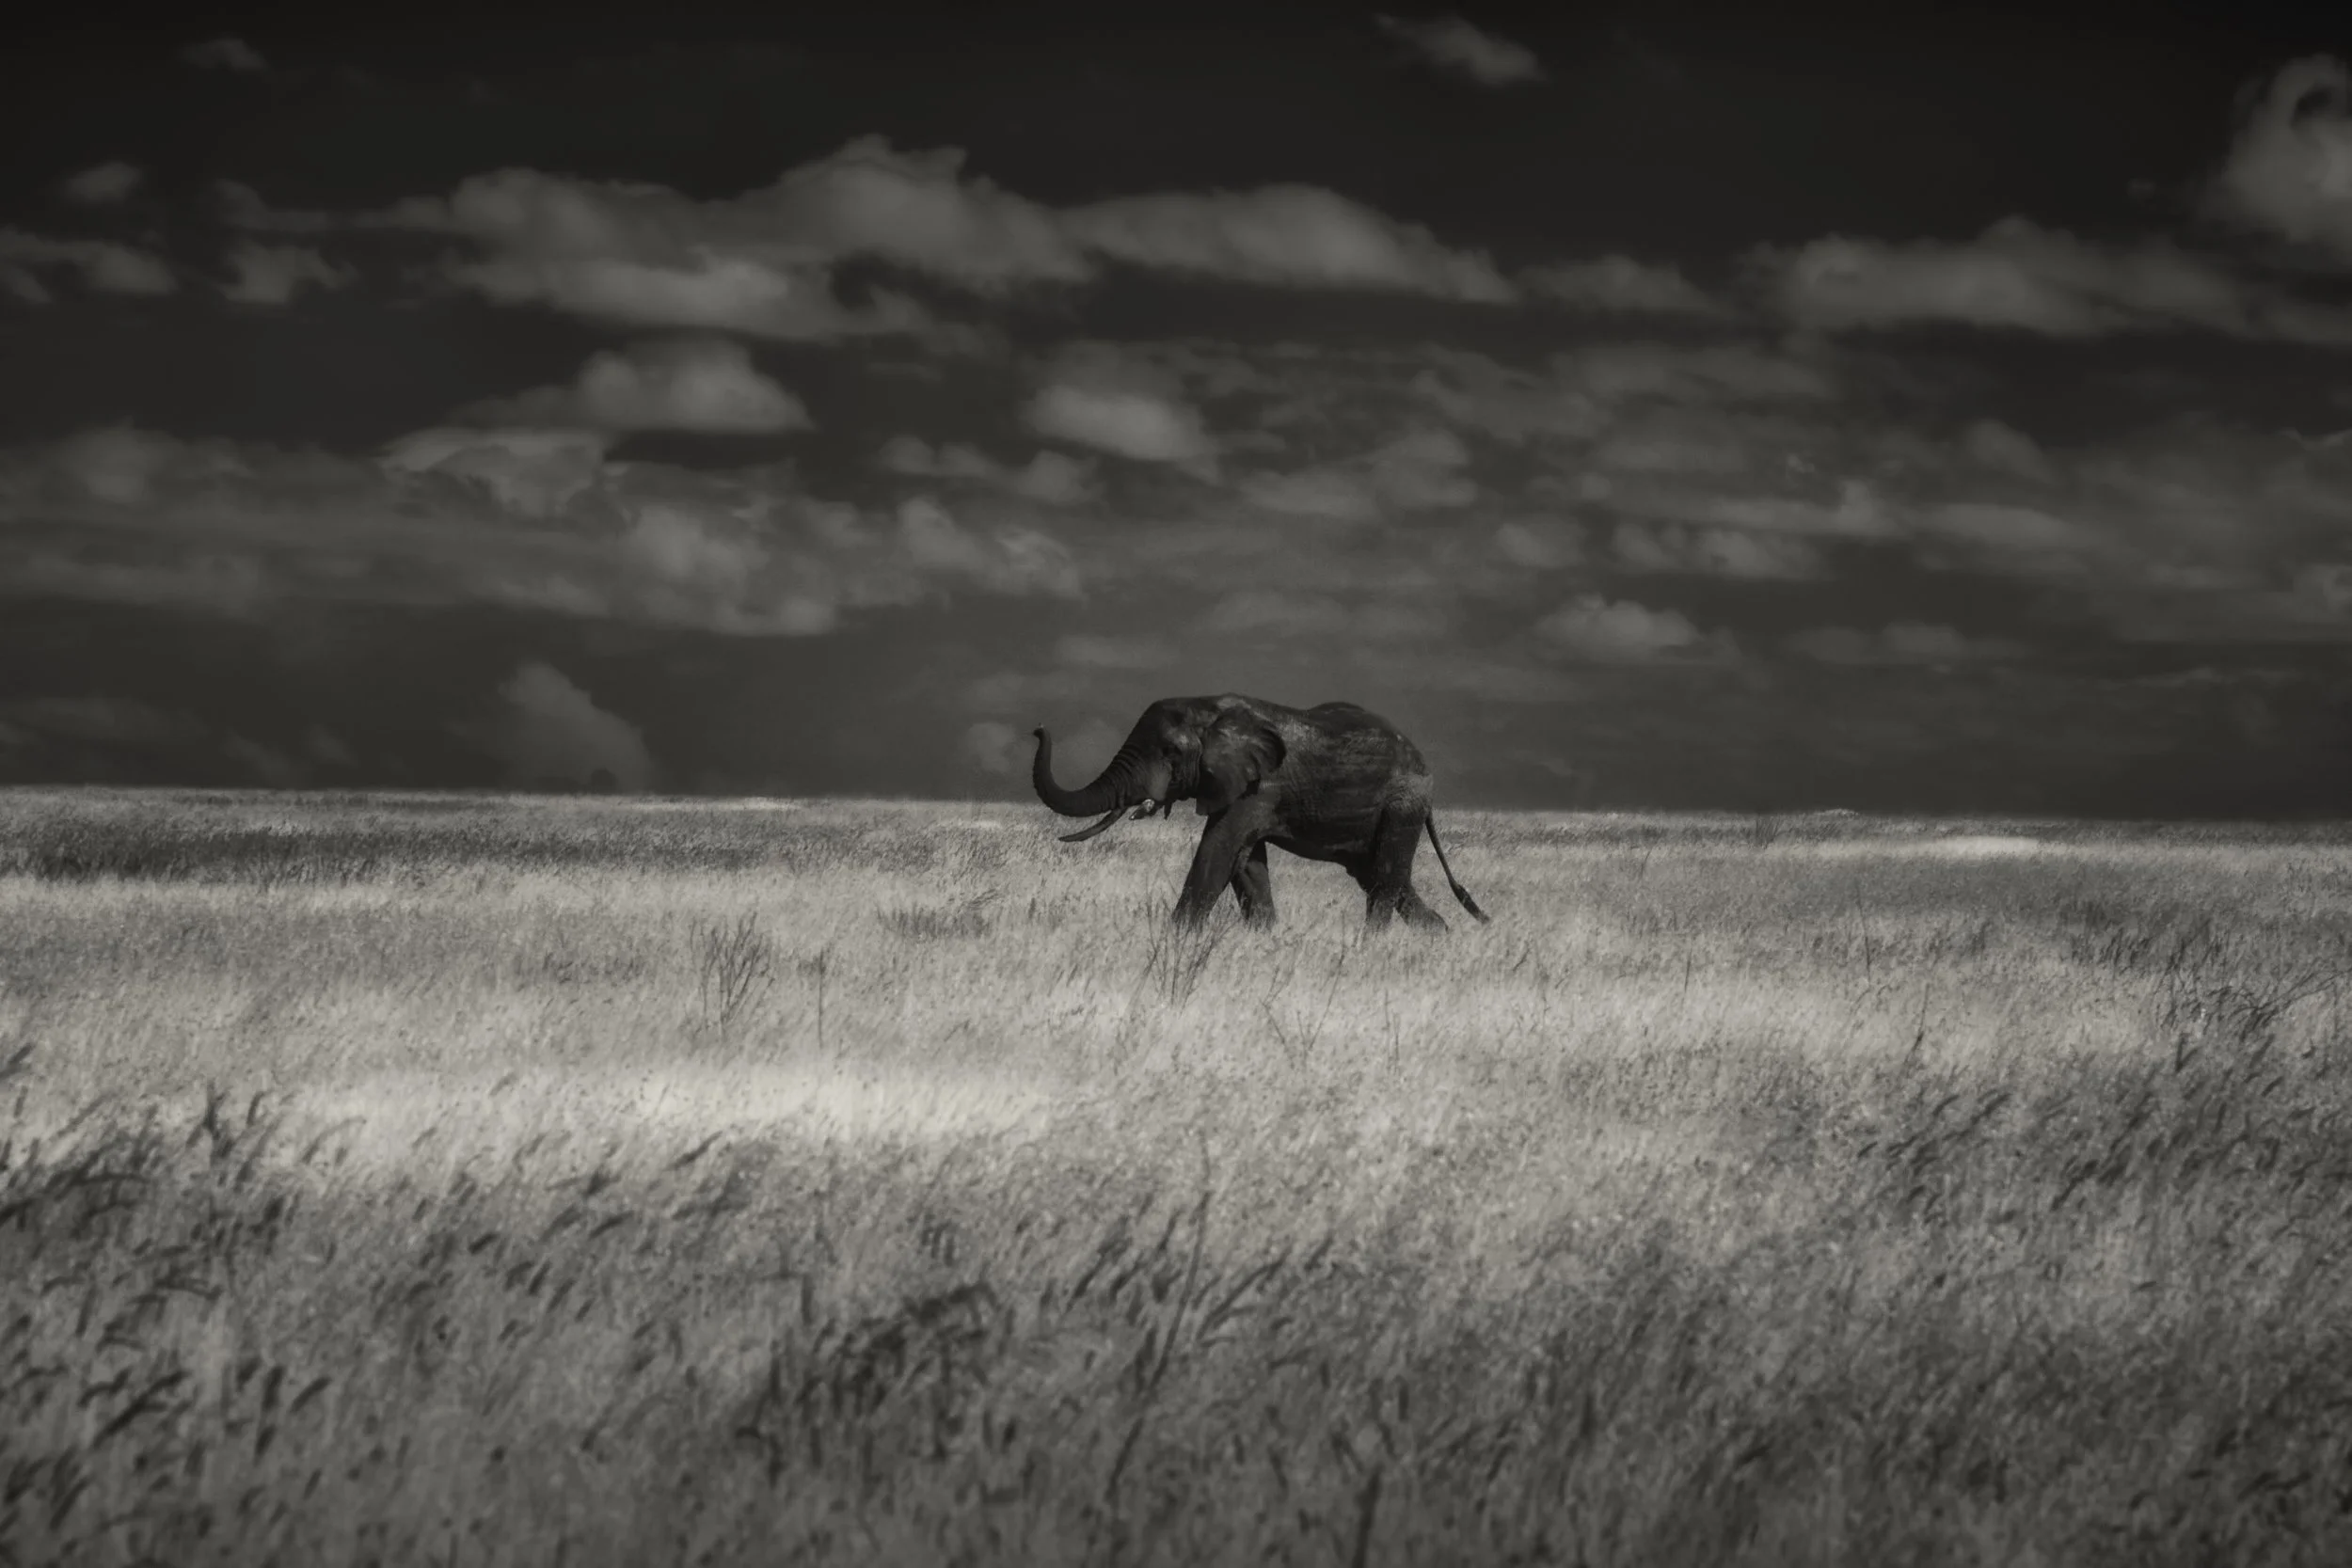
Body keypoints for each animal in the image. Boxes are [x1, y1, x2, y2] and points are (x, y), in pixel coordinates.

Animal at [1031, 693, 1490, 931]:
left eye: (1169, 752)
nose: (1037, 728)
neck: (1209, 708)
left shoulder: (1260, 788)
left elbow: (1217, 851)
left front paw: (1177, 938)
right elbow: (1245, 862)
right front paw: (1265, 936)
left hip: (1402, 804)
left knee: (1386, 879)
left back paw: (1373, 946)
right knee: (1383, 878)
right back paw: (1439, 938)